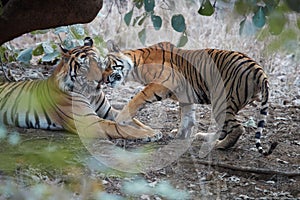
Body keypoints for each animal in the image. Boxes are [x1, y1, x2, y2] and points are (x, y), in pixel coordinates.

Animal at [0, 37, 158, 140]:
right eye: (84, 67)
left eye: (99, 62)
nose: (100, 80)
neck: (90, 93)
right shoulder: (88, 122)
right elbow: (119, 127)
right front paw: (150, 134)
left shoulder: (109, 111)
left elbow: (132, 120)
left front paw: (150, 129)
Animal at [102, 40, 278, 155]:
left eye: (108, 65)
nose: (104, 80)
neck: (136, 64)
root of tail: (257, 68)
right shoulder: (184, 95)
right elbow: (187, 116)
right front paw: (180, 134)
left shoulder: (162, 83)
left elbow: (137, 98)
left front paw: (122, 117)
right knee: (224, 127)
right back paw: (206, 138)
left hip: (222, 101)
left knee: (237, 128)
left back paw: (219, 146)